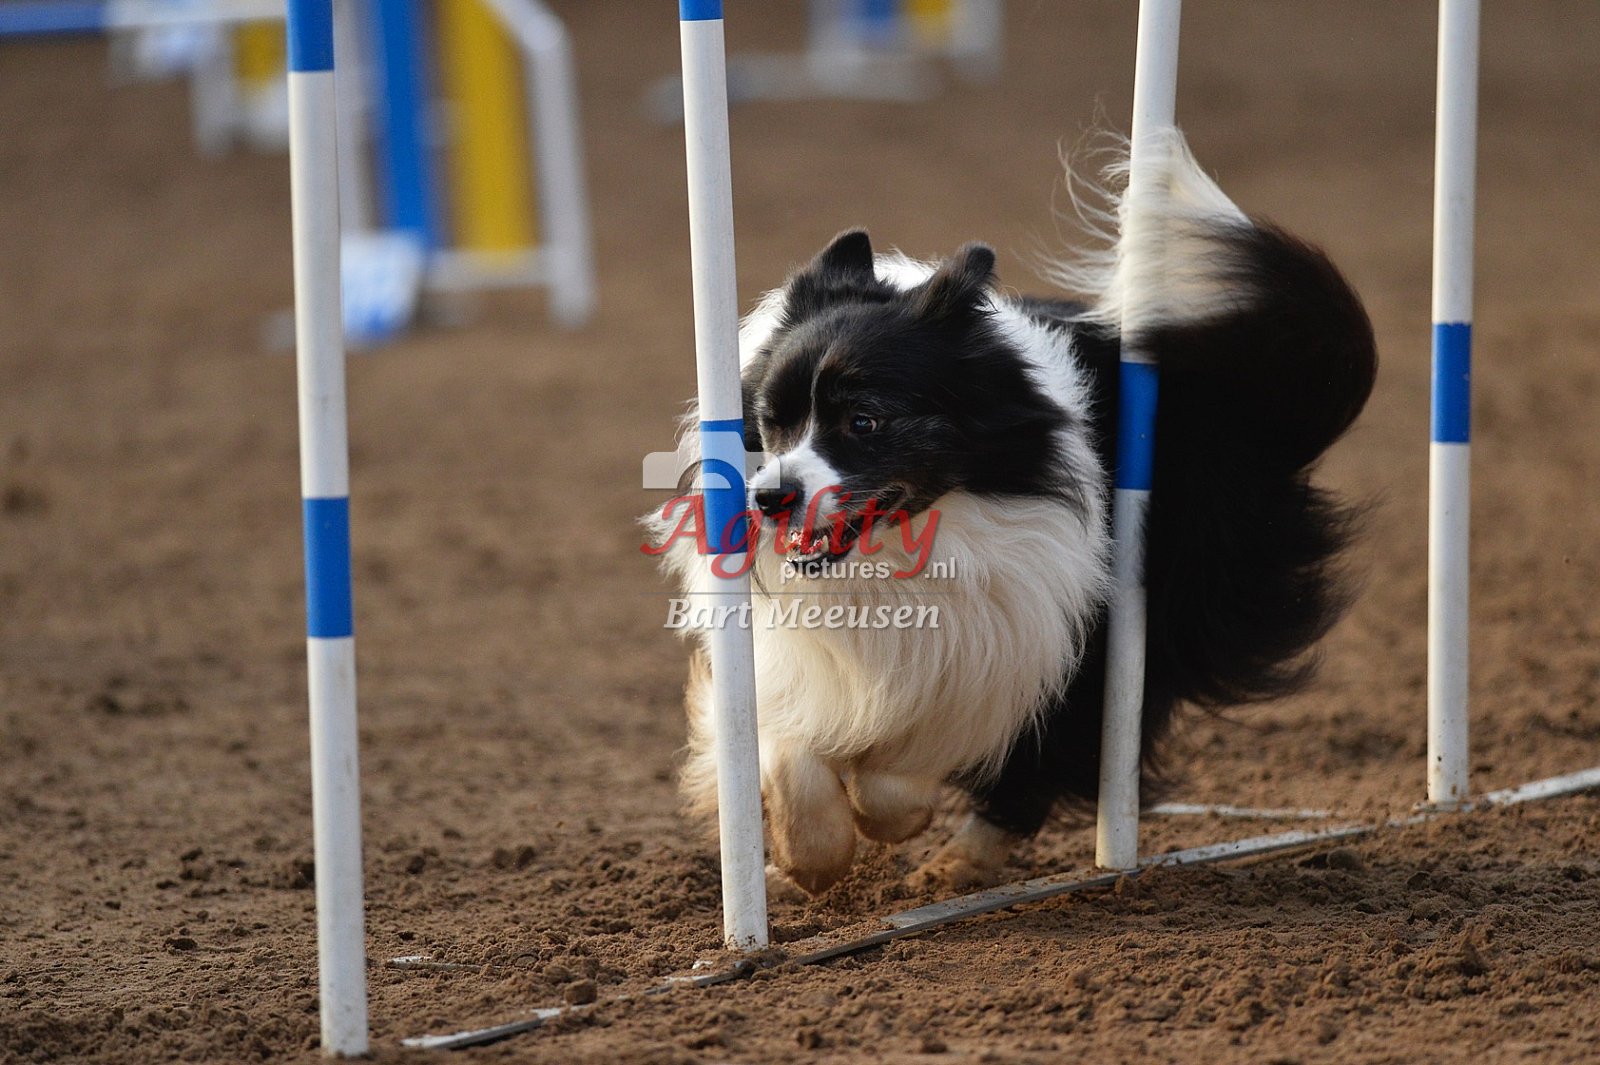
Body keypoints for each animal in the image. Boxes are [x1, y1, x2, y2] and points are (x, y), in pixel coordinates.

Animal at [646, 132, 1377, 897]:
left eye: (865, 420)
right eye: (771, 421)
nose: (770, 498)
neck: (908, 547)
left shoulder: (1002, 642)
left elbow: (913, 756)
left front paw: (886, 818)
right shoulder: (788, 661)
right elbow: (788, 747)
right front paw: (807, 855)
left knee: (1053, 755)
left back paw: (953, 865)